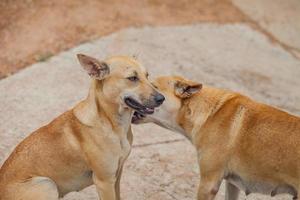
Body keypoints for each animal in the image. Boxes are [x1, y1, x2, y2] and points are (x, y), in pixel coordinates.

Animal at [0, 54, 164, 200]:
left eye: (147, 75)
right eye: (132, 78)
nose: (161, 98)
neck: (110, 123)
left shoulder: (116, 176)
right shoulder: (104, 182)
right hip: (46, 184)